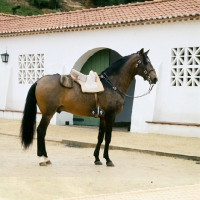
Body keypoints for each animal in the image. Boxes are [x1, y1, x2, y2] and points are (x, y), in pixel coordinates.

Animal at [19, 47, 158, 166]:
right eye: (145, 62)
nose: (155, 79)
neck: (112, 84)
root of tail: (39, 81)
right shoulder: (110, 116)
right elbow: (108, 137)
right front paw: (108, 160)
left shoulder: (103, 117)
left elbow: (100, 137)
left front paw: (97, 158)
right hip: (48, 114)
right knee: (41, 131)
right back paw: (43, 158)